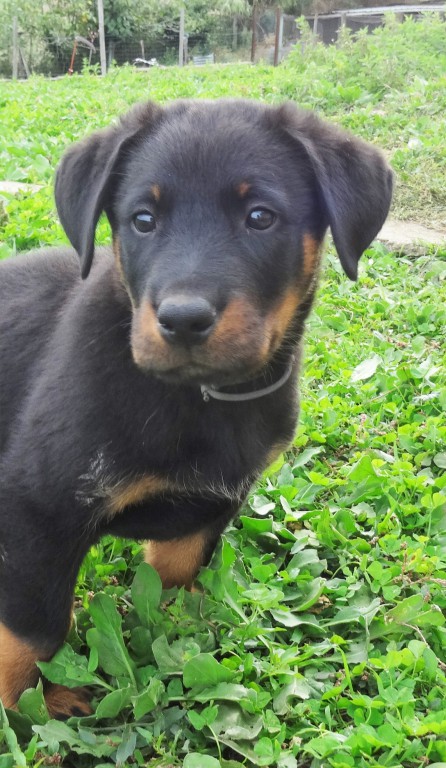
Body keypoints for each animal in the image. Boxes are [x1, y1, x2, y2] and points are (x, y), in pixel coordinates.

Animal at [0, 99, 390, 716]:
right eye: (142, 219)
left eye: (260, 217)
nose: (182, 320)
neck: (201, 397)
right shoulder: (37, 509)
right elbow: (31, 632)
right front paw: (24, 710)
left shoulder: (207, 510)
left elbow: (174, 583)